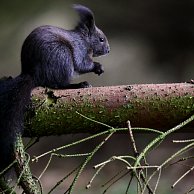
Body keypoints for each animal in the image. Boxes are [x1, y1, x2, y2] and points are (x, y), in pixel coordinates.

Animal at [0, 4, 109, 175]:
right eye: (101, 39)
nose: (108, 50)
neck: (84, 40)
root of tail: (32, 73)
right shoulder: (79, 50)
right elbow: (82, 64)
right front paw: (97, 67)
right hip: (62, 57)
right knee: (58, 84)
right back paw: (79, 85)